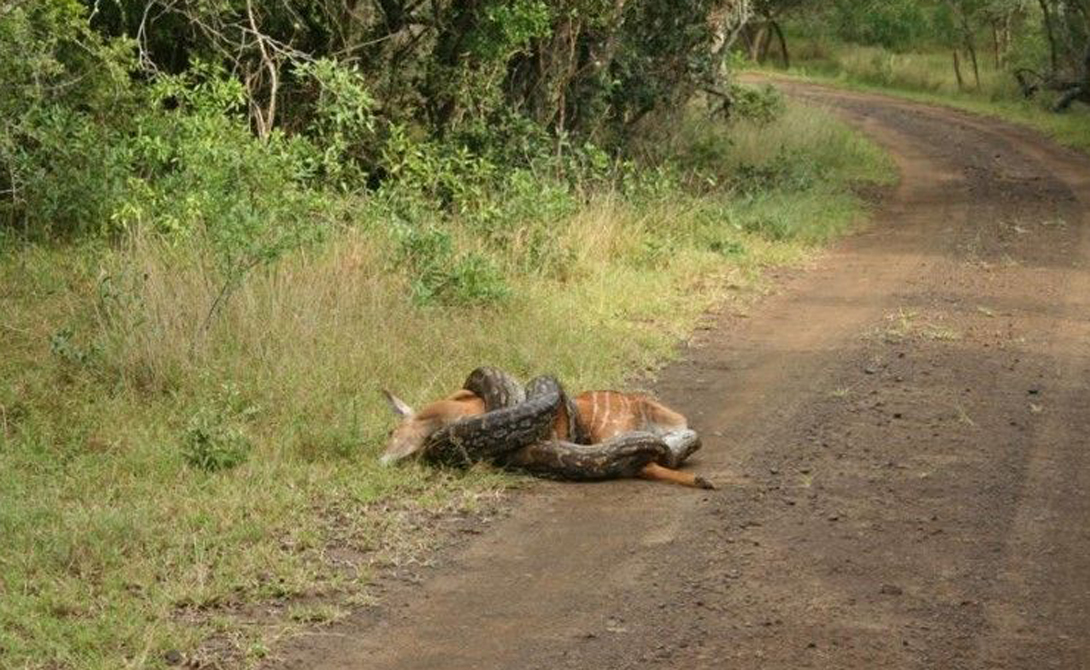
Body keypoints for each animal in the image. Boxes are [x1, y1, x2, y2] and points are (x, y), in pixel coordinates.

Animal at [383, 385, 715, 490]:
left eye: (391, 432)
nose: (382, 460)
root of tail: (637, 404)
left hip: (613, 434)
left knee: (647, 463)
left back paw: (702, 481)